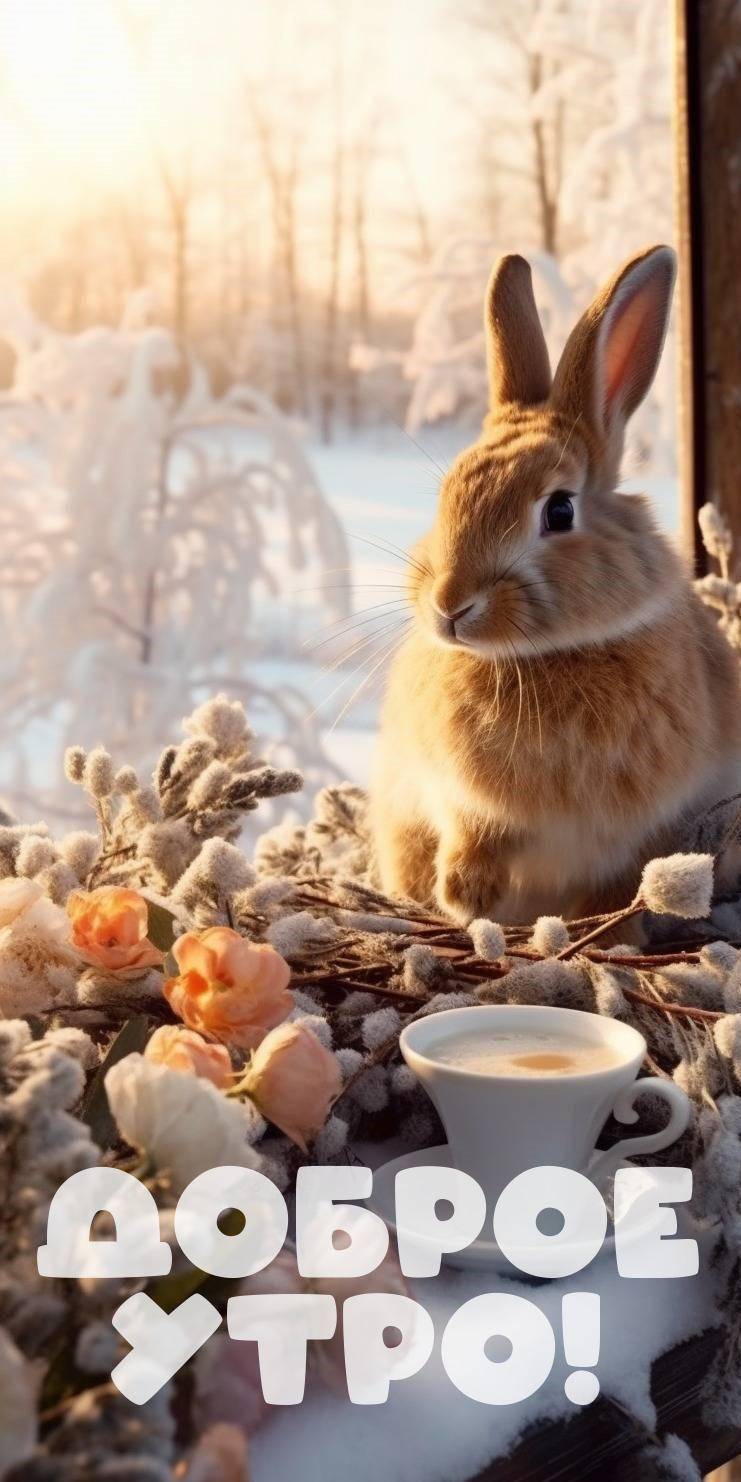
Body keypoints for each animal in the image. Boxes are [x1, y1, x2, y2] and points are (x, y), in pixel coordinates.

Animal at [371, 245, 741, 926]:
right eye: (446, 496)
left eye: (561, 511)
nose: (450, 606)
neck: (537, 660)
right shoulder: (458, 798)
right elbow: (471, 832)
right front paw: (466, 898)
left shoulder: (646, 828)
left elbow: (622, 882)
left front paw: (607, 931)